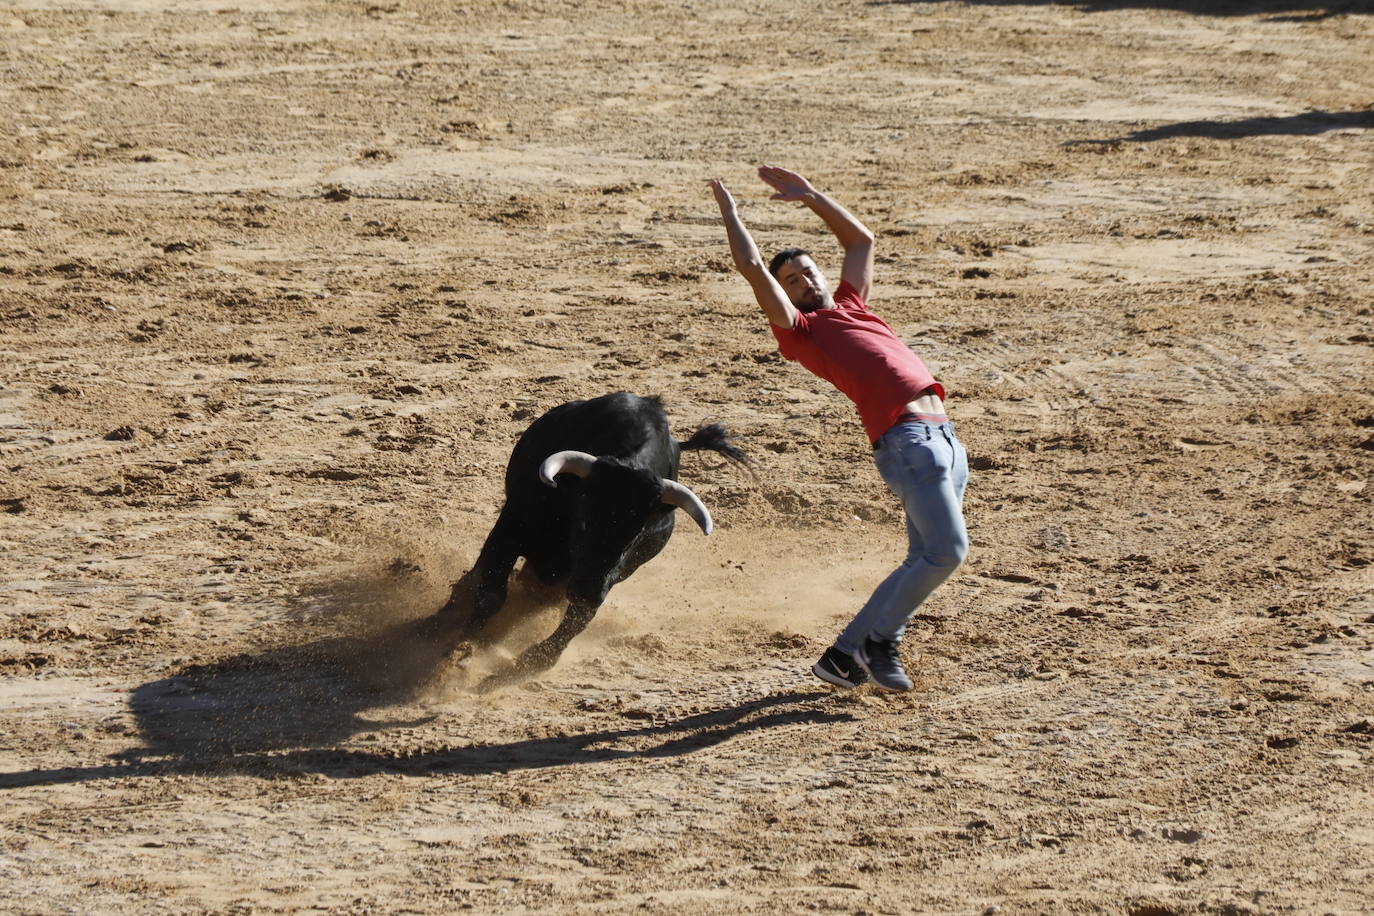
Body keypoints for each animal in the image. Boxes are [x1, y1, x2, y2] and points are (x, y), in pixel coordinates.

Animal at [428, 395, 752, 681]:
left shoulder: (609, 575)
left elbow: (579, 618)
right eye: (584, 520)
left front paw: (536, 660)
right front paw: (460, 651)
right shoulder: (510, 528)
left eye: (636, 536)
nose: (586, 592)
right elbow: (491, 594)